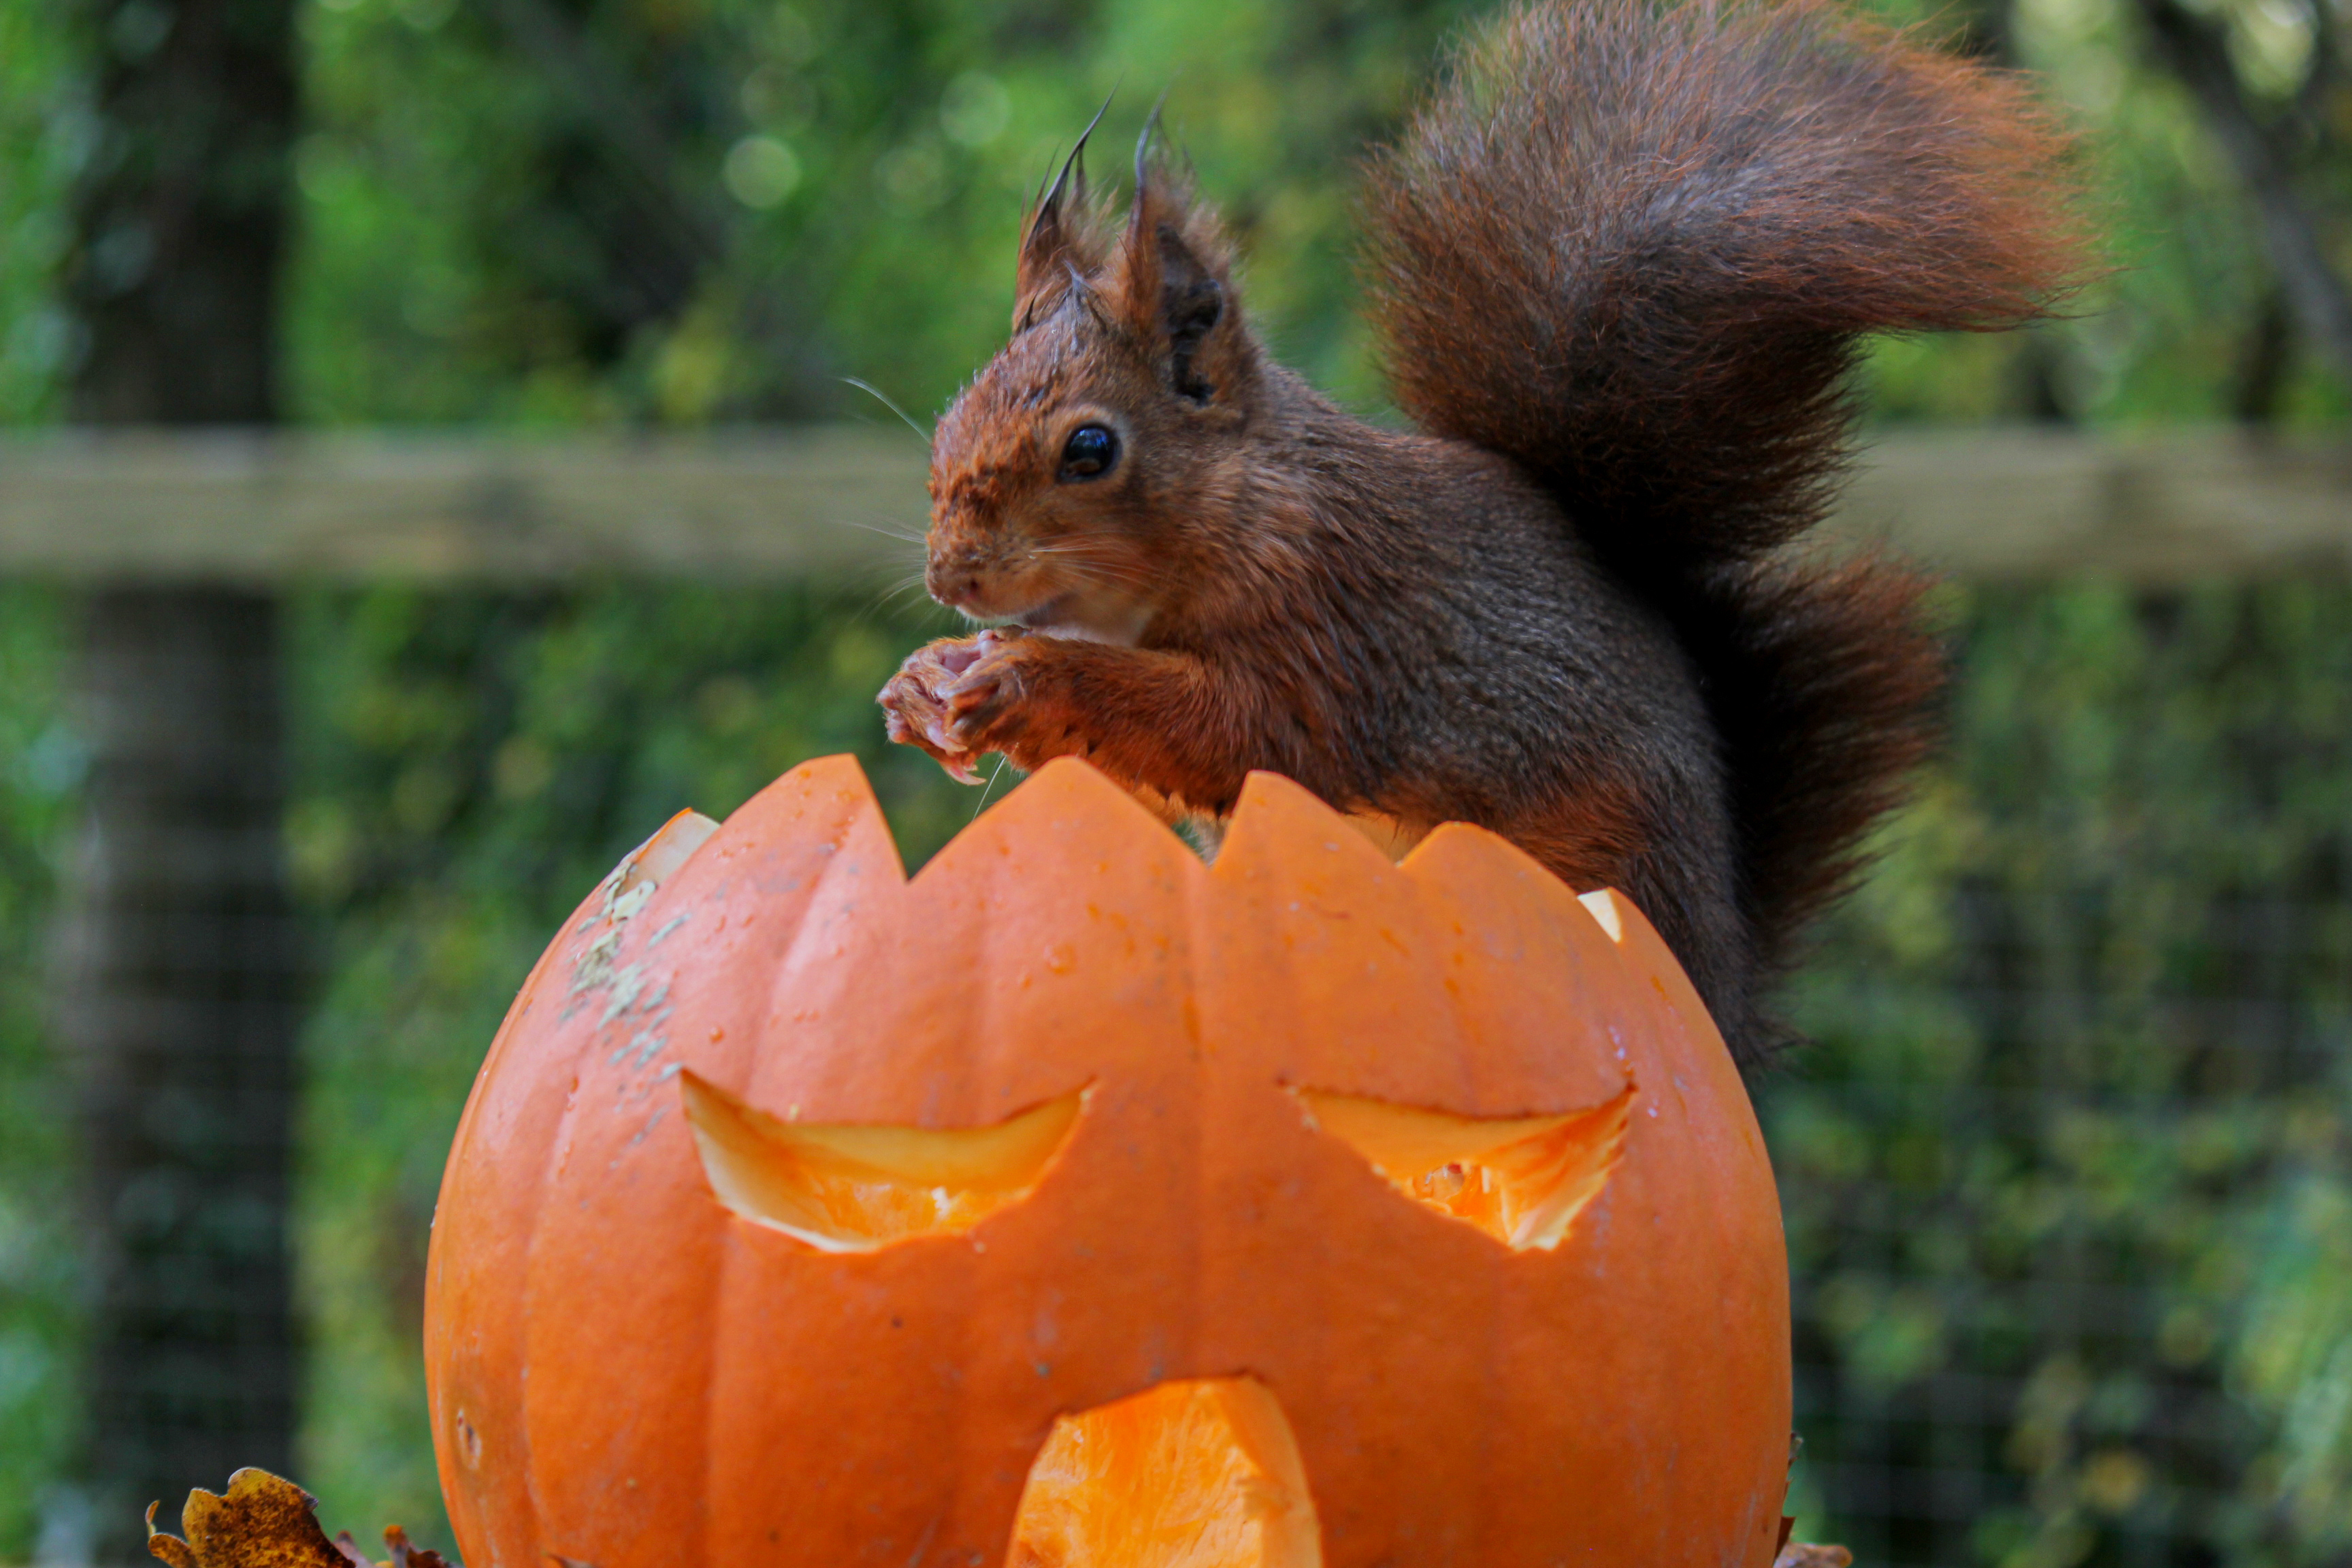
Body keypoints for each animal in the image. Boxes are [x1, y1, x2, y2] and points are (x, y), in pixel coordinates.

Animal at [878, 0, 2083, 1064]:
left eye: (1091, 449)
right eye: (954, 411)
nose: (951, 578)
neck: (1242, 509)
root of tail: (1726, 994)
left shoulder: (1341, 628)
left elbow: (1247, 732)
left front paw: (1025, 676)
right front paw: (926, 684)